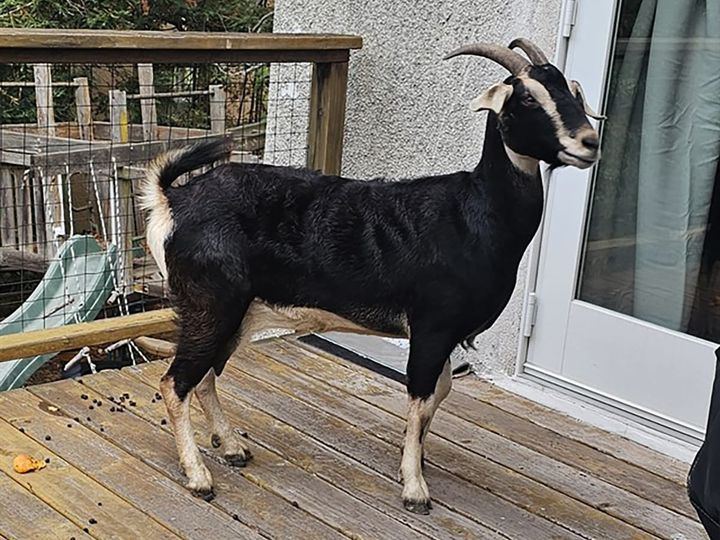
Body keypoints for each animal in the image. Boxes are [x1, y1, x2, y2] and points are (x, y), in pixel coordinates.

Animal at [141, 38, 601, 514]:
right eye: (526, 97)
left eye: (571, 90)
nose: (588, 142)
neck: (472, 213)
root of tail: (171, 200)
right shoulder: (433, 324)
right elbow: (422, 395)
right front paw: (415, 487)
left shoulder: (443, 332)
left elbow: (439, 393)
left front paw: (416, 462)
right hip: (210, 303)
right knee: (175, 382)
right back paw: (198, 476)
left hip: (239, 312)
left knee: (207, 375)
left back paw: (232, 448)